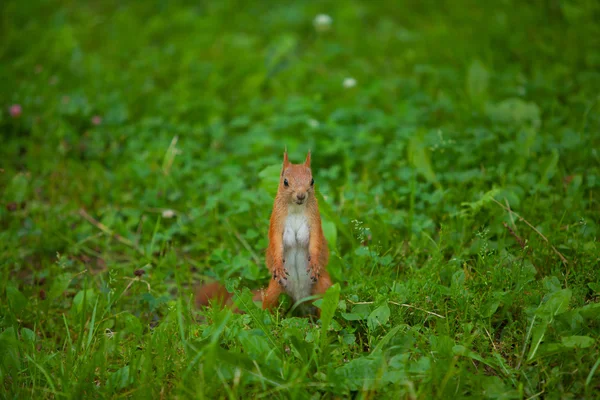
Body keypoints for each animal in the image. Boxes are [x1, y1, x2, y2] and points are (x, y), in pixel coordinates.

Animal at [199, 150, 336, 316]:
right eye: (285, 182)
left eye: (312, 181)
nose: (301, 196)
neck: (296, 208)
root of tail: (300, 299)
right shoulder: (276, 222)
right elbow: (276, 242)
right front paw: (277, 264)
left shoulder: (314, 221)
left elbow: (315, 241)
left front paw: (315, 262)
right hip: (274, 291)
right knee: (268, 307)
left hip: (324, 286)